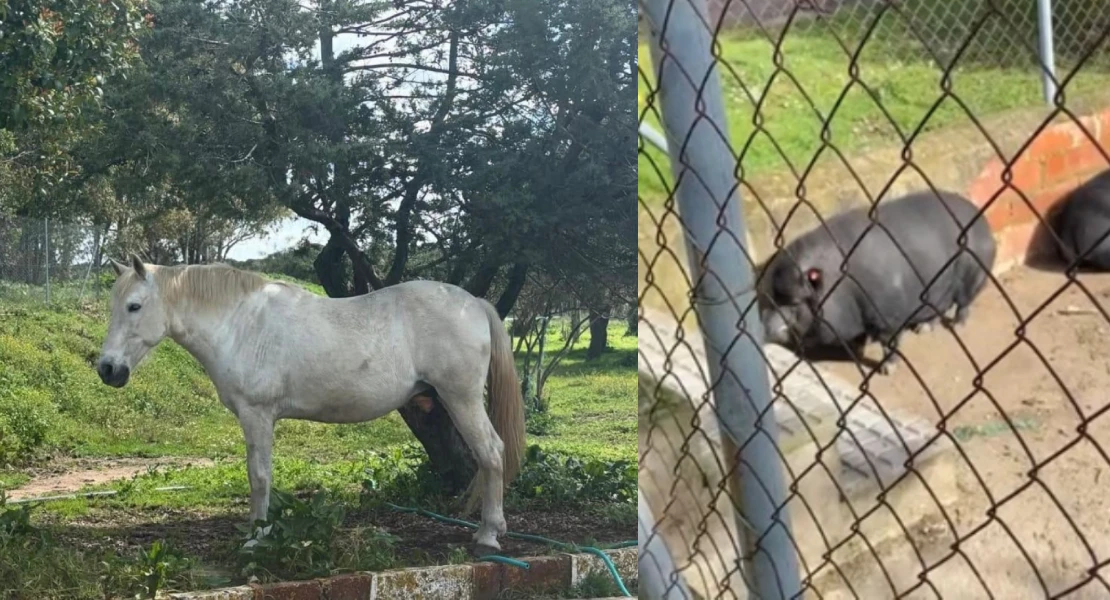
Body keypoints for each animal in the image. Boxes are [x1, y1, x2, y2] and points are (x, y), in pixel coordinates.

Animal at [758, 189, 997, 375]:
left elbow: (889, 344)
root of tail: (982, 220)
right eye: (772, 296)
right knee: (939, 308)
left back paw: (957, 326)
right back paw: (922, 329)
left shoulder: (888, 317)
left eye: (795, 302)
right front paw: (855, 347)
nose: (764, 328)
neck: (842, 286)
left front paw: (886, 370)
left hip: (973, 276)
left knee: (963, 304)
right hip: (939, 290)